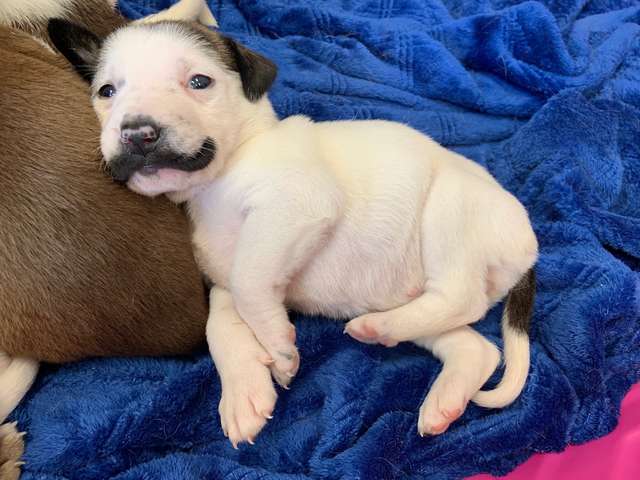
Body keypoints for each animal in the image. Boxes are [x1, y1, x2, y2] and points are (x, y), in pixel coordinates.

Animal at [51, 18, 540, 446]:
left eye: (199, 82)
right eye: (107, 91)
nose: (137, 133)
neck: (216, 182)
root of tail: (530, 250)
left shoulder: (294, 205)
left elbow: (250, 286)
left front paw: (279, 350)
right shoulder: (223, 275)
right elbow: (221, 323)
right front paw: (245, 391)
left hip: (450, 211)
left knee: (461, 296)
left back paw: (381, 328)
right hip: (412, 301)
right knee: (477, 348)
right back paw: (433, 385)